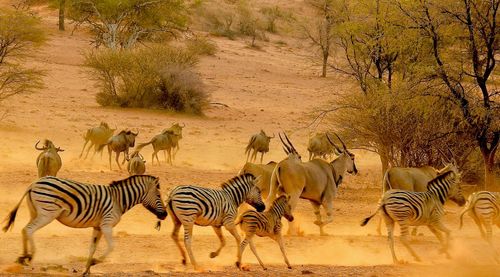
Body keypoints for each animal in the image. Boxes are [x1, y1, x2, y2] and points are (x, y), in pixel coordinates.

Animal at [1, 175, 168, 274]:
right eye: (158, 195)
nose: (165, 215)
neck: (118, 200)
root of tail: (34, 183)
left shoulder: (98, 226)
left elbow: (92, 248)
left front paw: (86, 270)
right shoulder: (107, 224)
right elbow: (111, 246)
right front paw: (94, 263)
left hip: (35, 212)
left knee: (24, 229)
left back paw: (22, 257)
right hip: (47, 213)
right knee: (29, 229)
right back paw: (29, 255)